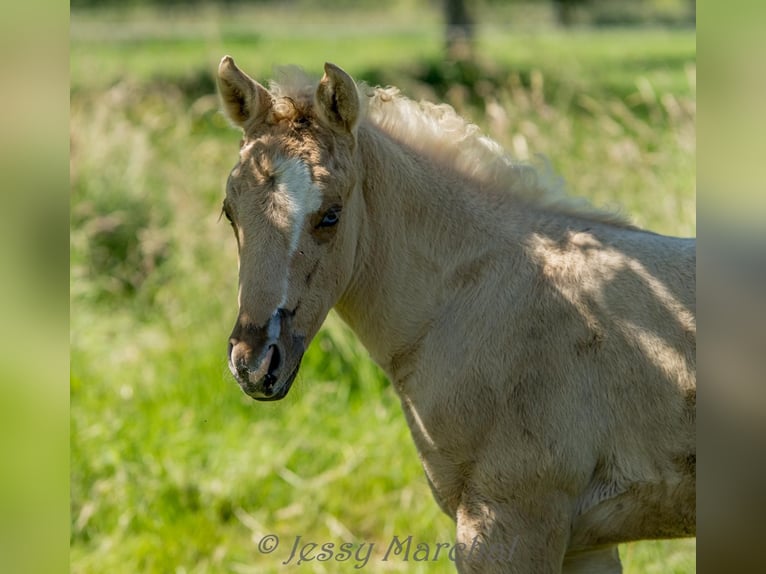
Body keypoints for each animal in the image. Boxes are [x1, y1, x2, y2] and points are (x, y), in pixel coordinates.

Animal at [215, 56, 696, 573]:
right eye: (230, 212)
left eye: (331, 215)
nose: (254, 364)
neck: (473, 298)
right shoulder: (585, 544)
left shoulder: (513, 520)